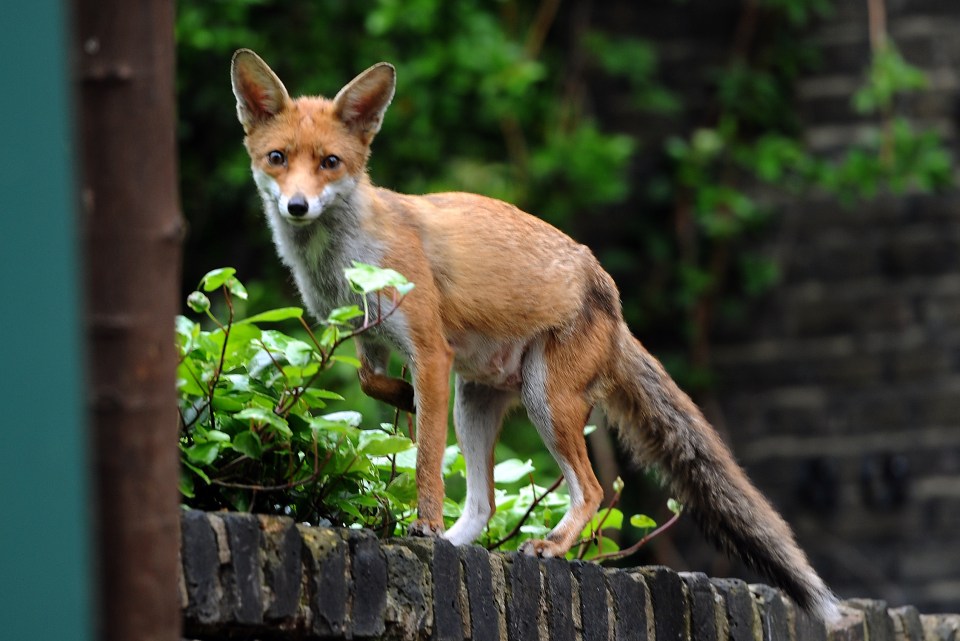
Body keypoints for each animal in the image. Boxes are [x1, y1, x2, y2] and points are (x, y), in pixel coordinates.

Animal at [232, 47, 840, 616]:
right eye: (277, 159)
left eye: (330, 162)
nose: (297, 206)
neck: (342, 263)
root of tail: (613, 303)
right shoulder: (369, 340)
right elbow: (369, 384)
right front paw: (402, 401)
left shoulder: (430, 350)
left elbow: (426, 456)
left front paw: (423, 524)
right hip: (474, 403)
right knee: (485, 506)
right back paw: (462, 542)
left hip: (545, 399)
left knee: (590, 490)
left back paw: (548, 544)